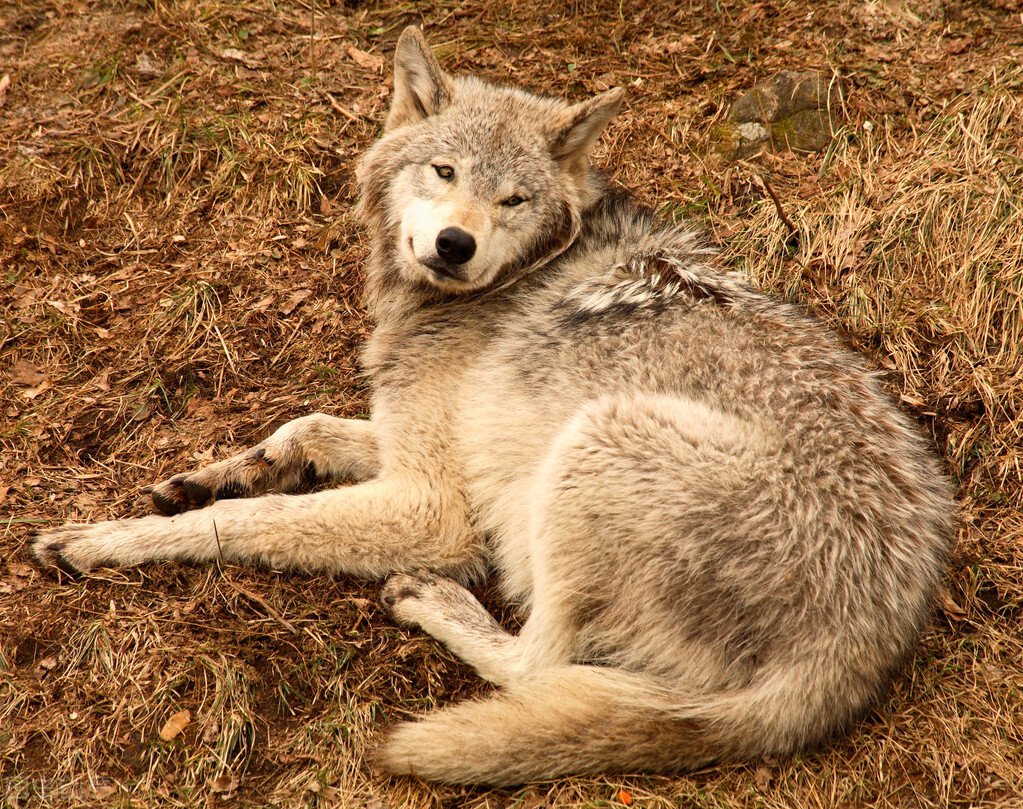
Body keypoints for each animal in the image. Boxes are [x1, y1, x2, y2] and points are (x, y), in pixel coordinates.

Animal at [34, 25, 957, 785]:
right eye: (443, 171)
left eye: (512, 199)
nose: (454, 243)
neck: (500, 284)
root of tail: (862, 641)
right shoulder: (404, 435)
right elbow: (301, 429)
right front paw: (209, 474)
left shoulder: (433, 506)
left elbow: (243, 524)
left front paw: (104, 540)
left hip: (596, 439)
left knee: (538, 663)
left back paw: (436, 603)